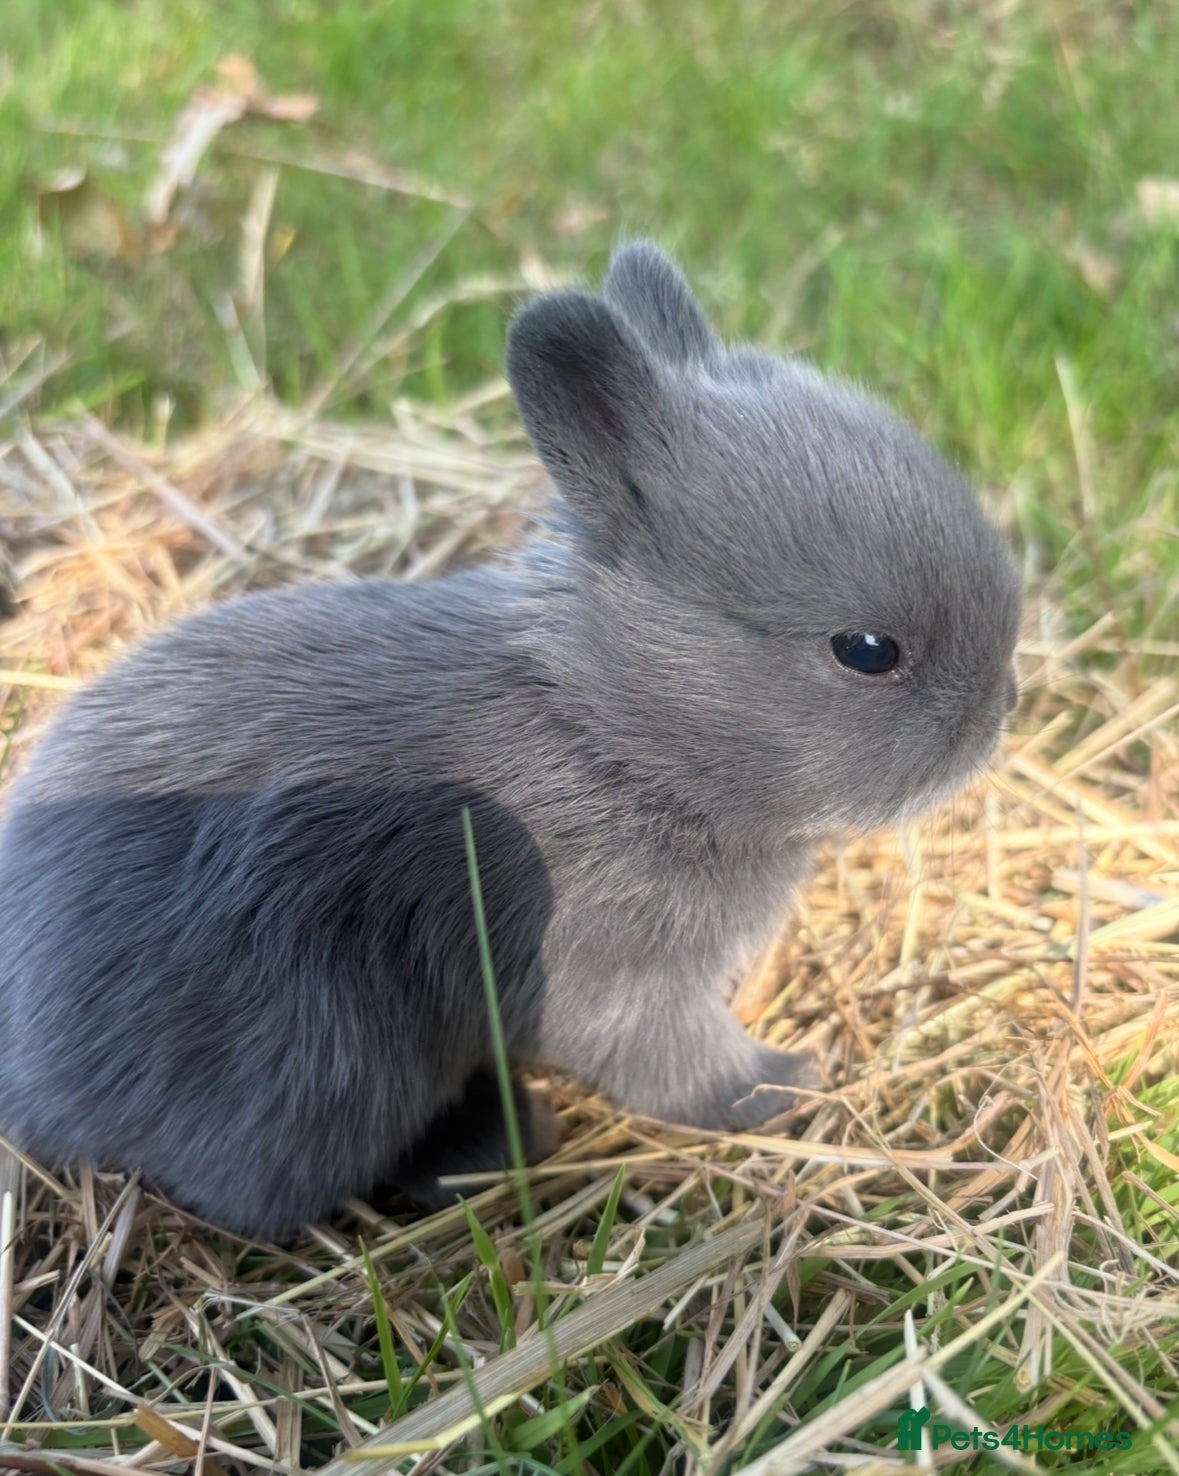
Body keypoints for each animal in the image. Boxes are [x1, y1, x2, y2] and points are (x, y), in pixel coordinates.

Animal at [0, 243, 1021, 1237]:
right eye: (867, 651)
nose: (1003, 705)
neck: (612, 737)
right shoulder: (617, 973)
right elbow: (680, 1067)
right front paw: (790, 1085)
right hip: (329, 1069)